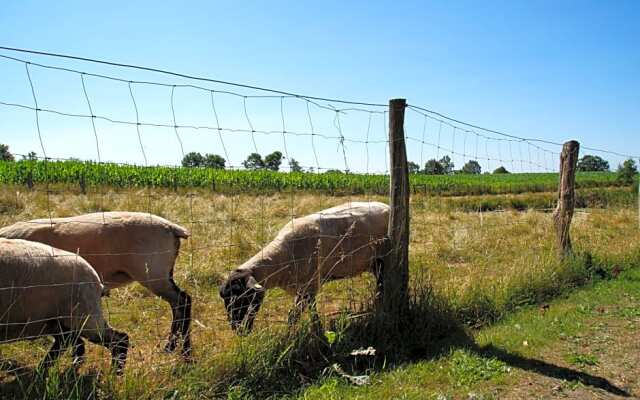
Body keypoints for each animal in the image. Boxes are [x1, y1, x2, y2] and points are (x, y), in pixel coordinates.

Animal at [0, 211, 195, 358]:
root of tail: (172, 228)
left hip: (152, 273)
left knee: (183, 301)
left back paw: (179, 350)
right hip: (162, 274)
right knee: (179, 304)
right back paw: (177, 348)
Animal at [0, 238, 129, 372]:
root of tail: (97, 280)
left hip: (83, 314)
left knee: (120, 338)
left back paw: (116, 370)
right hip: (58, 320)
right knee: (68, 342)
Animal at [220, 202, 390, 332]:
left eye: (244, 299)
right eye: (227, 300)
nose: (237, 329)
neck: (282, 255)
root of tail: (386, 205)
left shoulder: (309, 286)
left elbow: (297, 315)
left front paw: (308, 333)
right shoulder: (302, 288)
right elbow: (300, 314)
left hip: (381, 260)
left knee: (382, 284)